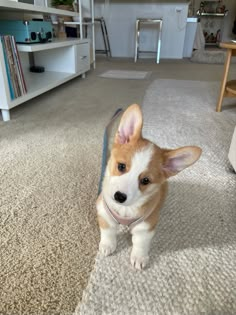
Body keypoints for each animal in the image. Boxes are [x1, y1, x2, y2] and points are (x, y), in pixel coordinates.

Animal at [96, 105, 201, 270]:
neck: (125, 210)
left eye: (145, 180)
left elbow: (140, 244)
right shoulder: (103, 211)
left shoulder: (146, 227)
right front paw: (107, 245)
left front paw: (139, 257)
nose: (119, 196)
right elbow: (107, 232)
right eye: (121, 166)